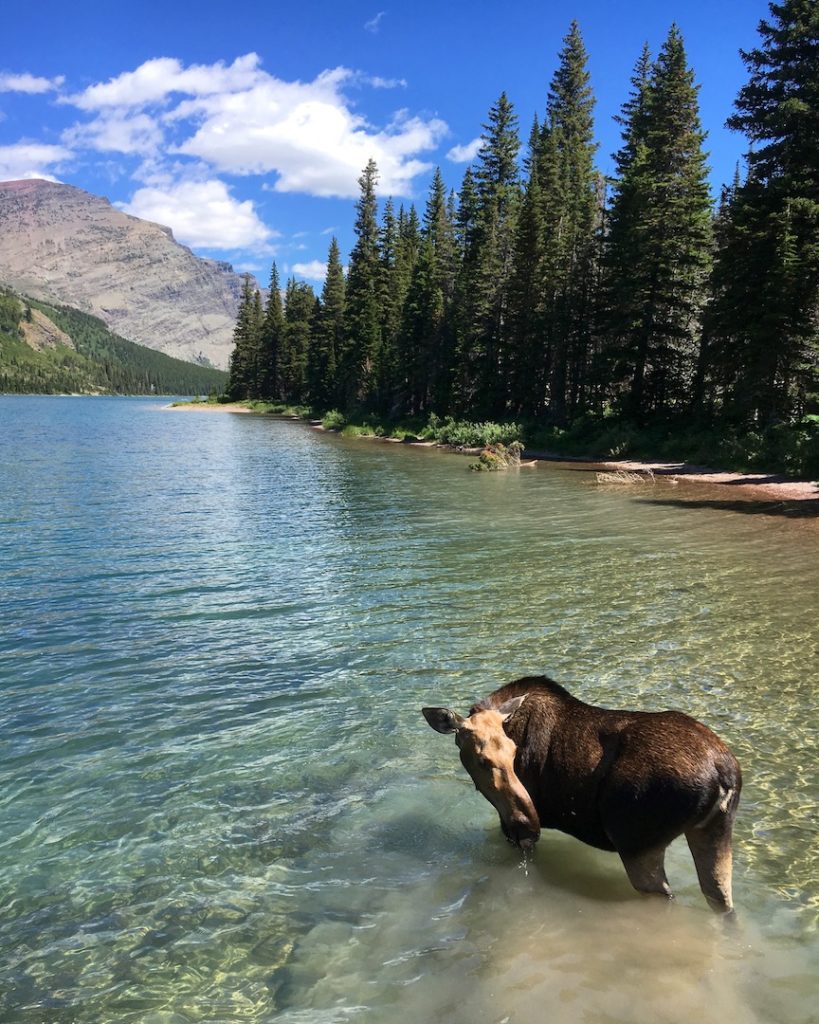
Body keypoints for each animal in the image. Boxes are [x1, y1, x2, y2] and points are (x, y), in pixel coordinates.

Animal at [421, 679, 741, 913]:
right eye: (483, 759)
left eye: (514, 753)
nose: (529, 820)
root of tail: (724, 775)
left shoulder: (513, 830)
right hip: (713, 830)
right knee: (722, 900)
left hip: (636, 844)